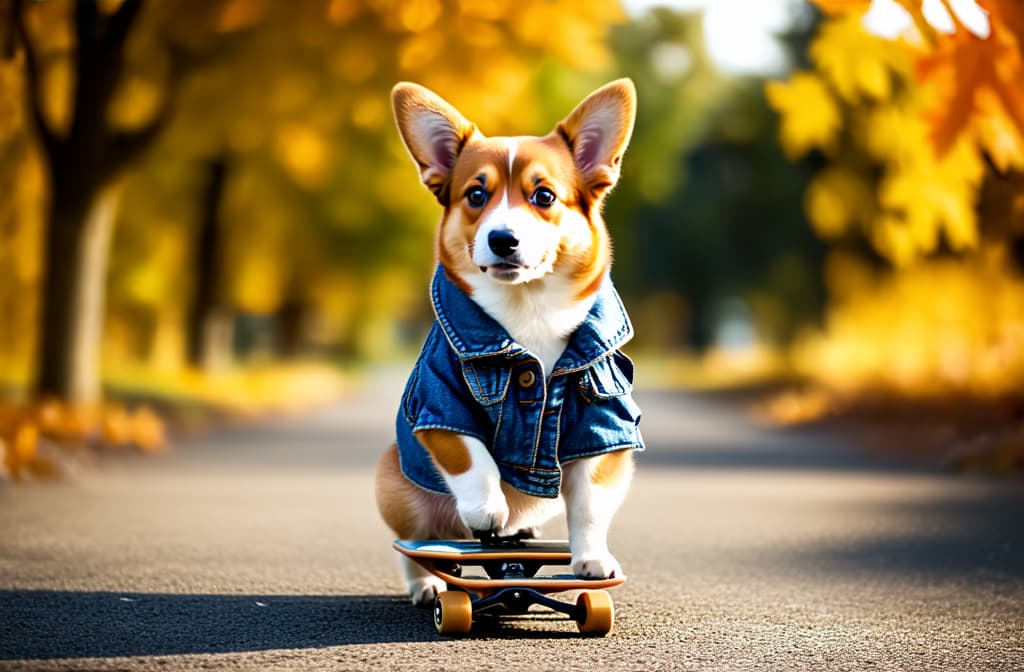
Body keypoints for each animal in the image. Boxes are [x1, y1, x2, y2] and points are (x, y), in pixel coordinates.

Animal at [380, 79, 643, 610]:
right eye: (476, 194)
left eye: (544, 196)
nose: (503, 239)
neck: (529, 309)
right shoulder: (437, 400)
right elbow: (469, 453)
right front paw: (486, 508)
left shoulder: (606, 422)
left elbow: (589, 503)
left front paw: (592, 562)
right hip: (396, 490)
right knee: (415, 548)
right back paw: (430, 584)